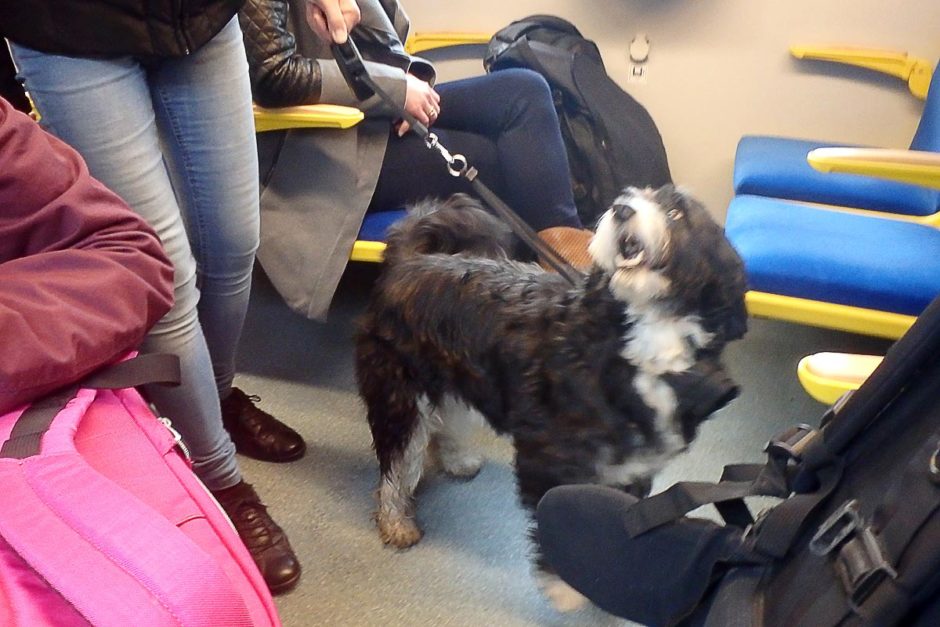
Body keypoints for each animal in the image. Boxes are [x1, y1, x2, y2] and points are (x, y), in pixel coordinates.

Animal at [356, 186, 744, 608]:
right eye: (632, 195)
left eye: (676, 213)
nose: (622, 209)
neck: (641, 340)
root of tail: (410, 259)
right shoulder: (547, 460)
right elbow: (555, 521)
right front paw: (564, 584)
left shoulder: (633, 468)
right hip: (400, 395)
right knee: (399, 463)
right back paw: (396, 521)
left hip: (453, 377)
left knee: (448, 423)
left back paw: (457, 461)